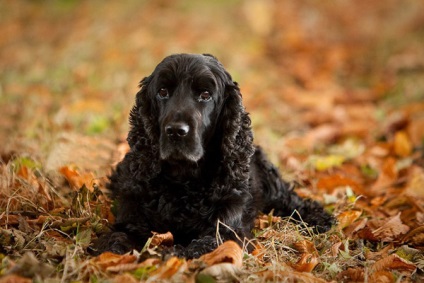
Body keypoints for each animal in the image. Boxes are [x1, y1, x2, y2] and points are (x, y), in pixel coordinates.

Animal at [97, 53, 334, 260]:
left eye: (205, 95)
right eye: (163, 92)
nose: (176, 131)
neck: (183, 180)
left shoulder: (227, 230)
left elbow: (201, 246)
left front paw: (171, 254)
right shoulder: (132, 216)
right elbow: (118, 237)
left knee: (291, 200)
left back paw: (319, 219)